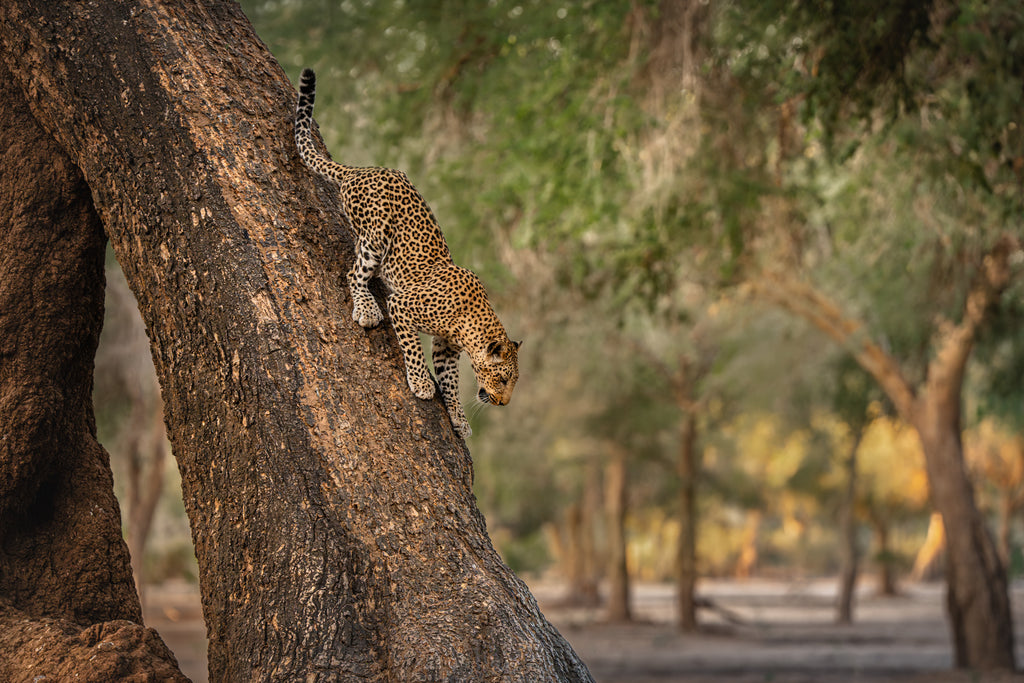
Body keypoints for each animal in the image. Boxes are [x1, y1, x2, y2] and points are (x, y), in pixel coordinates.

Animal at [294, 68, 519, 439]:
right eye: (503, 379)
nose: (503, 403)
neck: (469, 325)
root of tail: (361, 170)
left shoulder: (446, 348)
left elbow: (451, 383)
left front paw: (458, 418)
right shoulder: (403, 305)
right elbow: (413, 349)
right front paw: (422, 384)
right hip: (376, 234)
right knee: (354, 273)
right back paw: (367, 308)